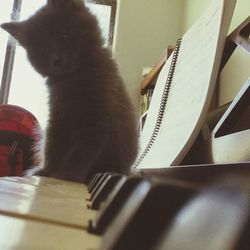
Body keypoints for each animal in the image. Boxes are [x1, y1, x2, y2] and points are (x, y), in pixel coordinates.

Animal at [0, 0, 138, 184]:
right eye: (43, 50)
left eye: (63, 35)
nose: (56, 60)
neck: (72, 79)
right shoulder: (57, 116)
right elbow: (53, 145)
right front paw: (45, 171)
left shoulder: (96, 116)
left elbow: (83, 149)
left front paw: (69, 174)